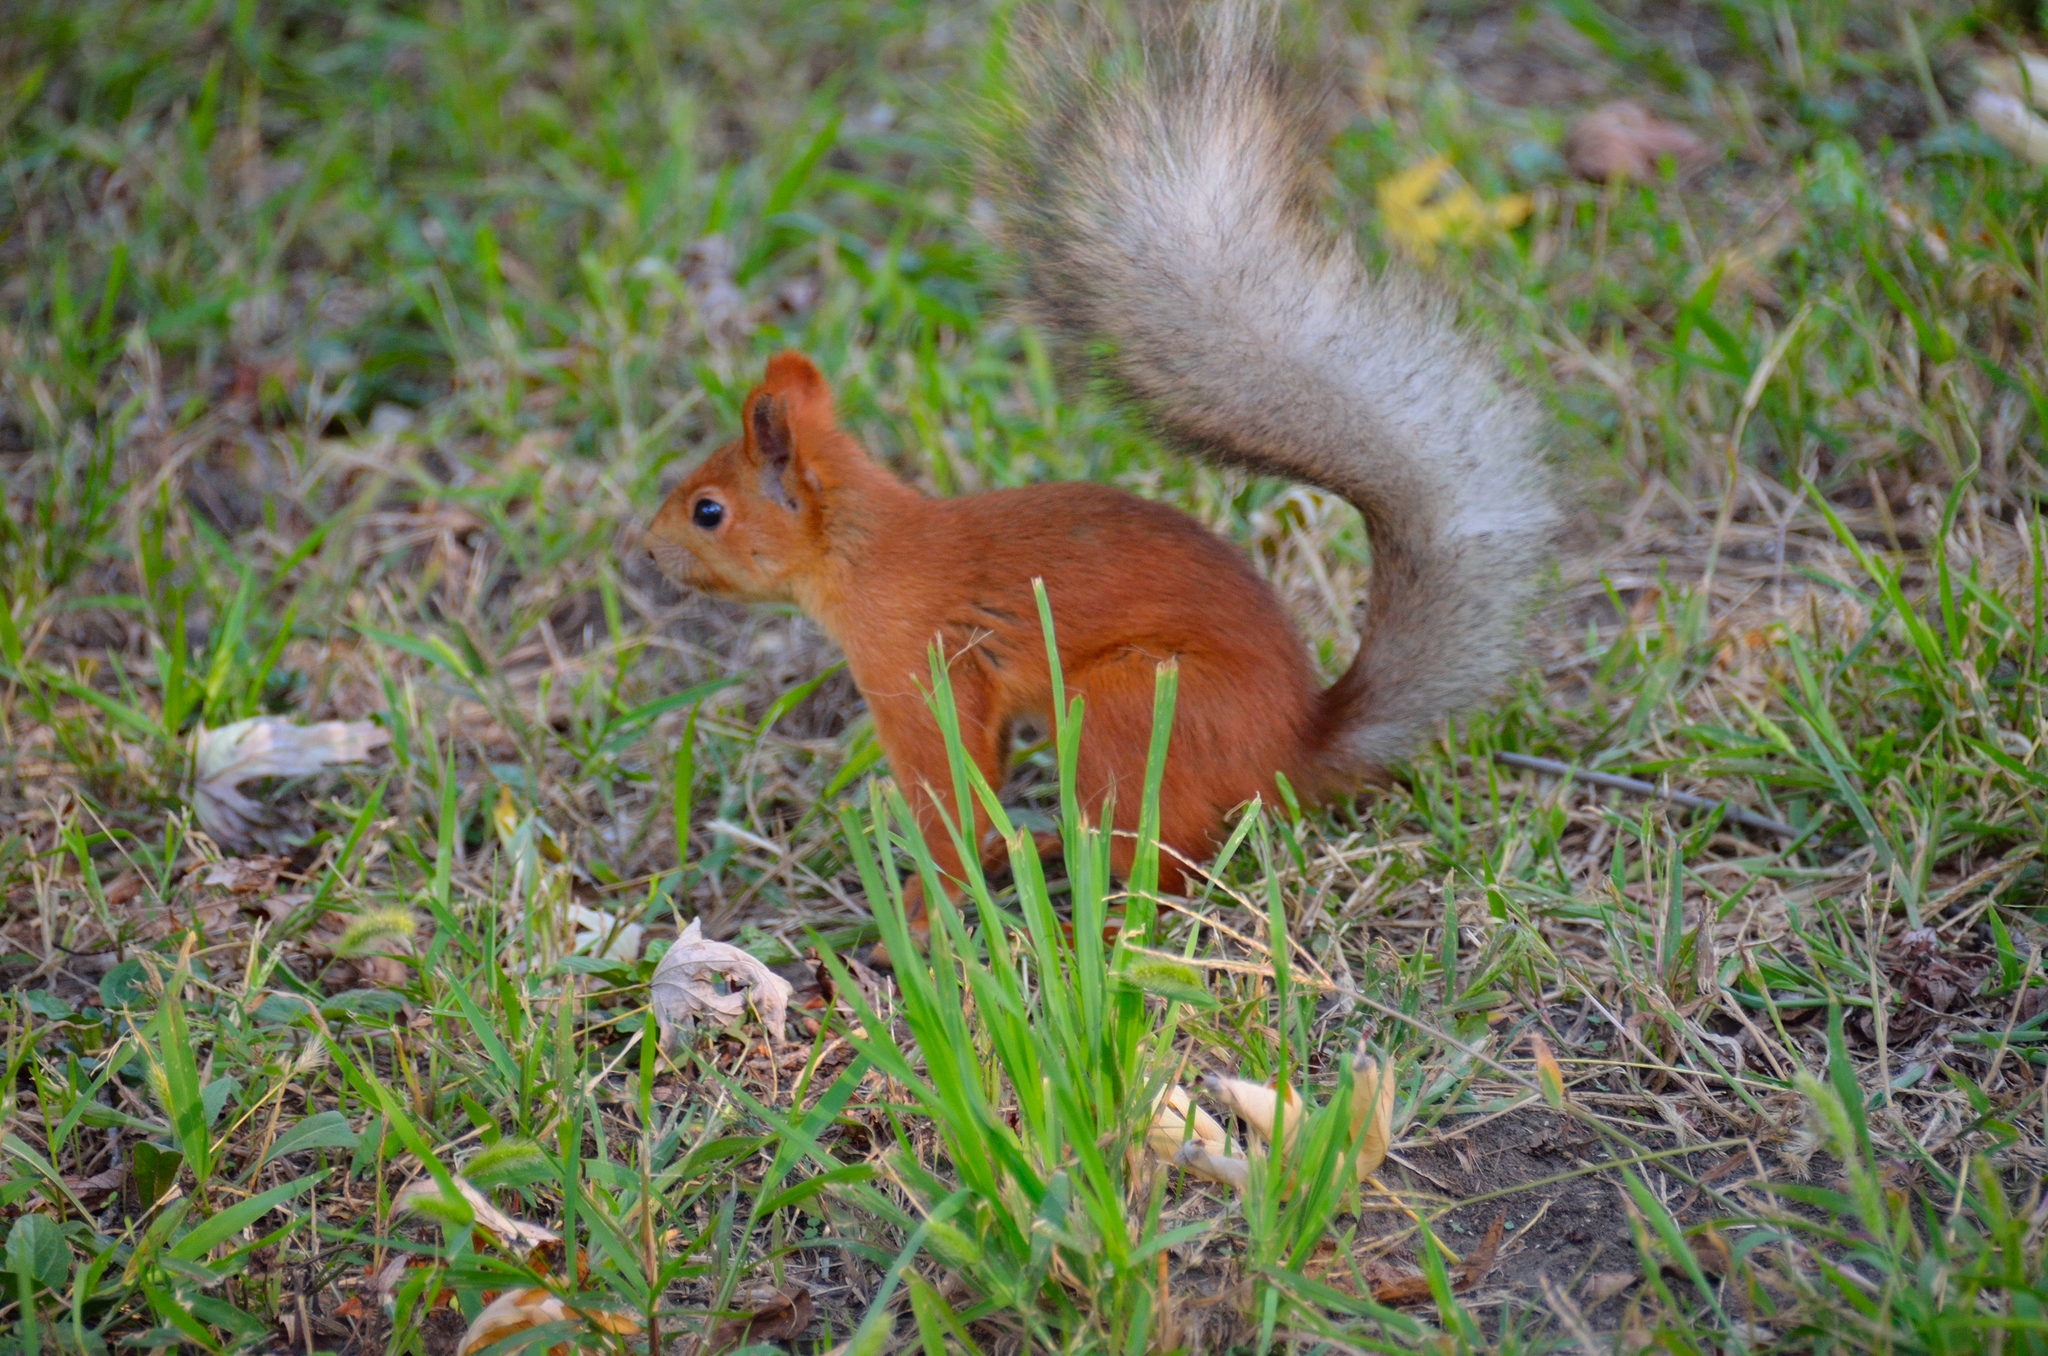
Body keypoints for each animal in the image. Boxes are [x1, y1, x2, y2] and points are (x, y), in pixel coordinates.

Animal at [647, 2, 1556, 934]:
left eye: (708, 510)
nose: (646, 549)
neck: (867, 548)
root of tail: (1294, 748)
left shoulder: (914, 661)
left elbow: (951, 799)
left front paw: (919, 919)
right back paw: (1054, 851)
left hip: (1125, 708)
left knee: (1174, 861)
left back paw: (1112, 923)